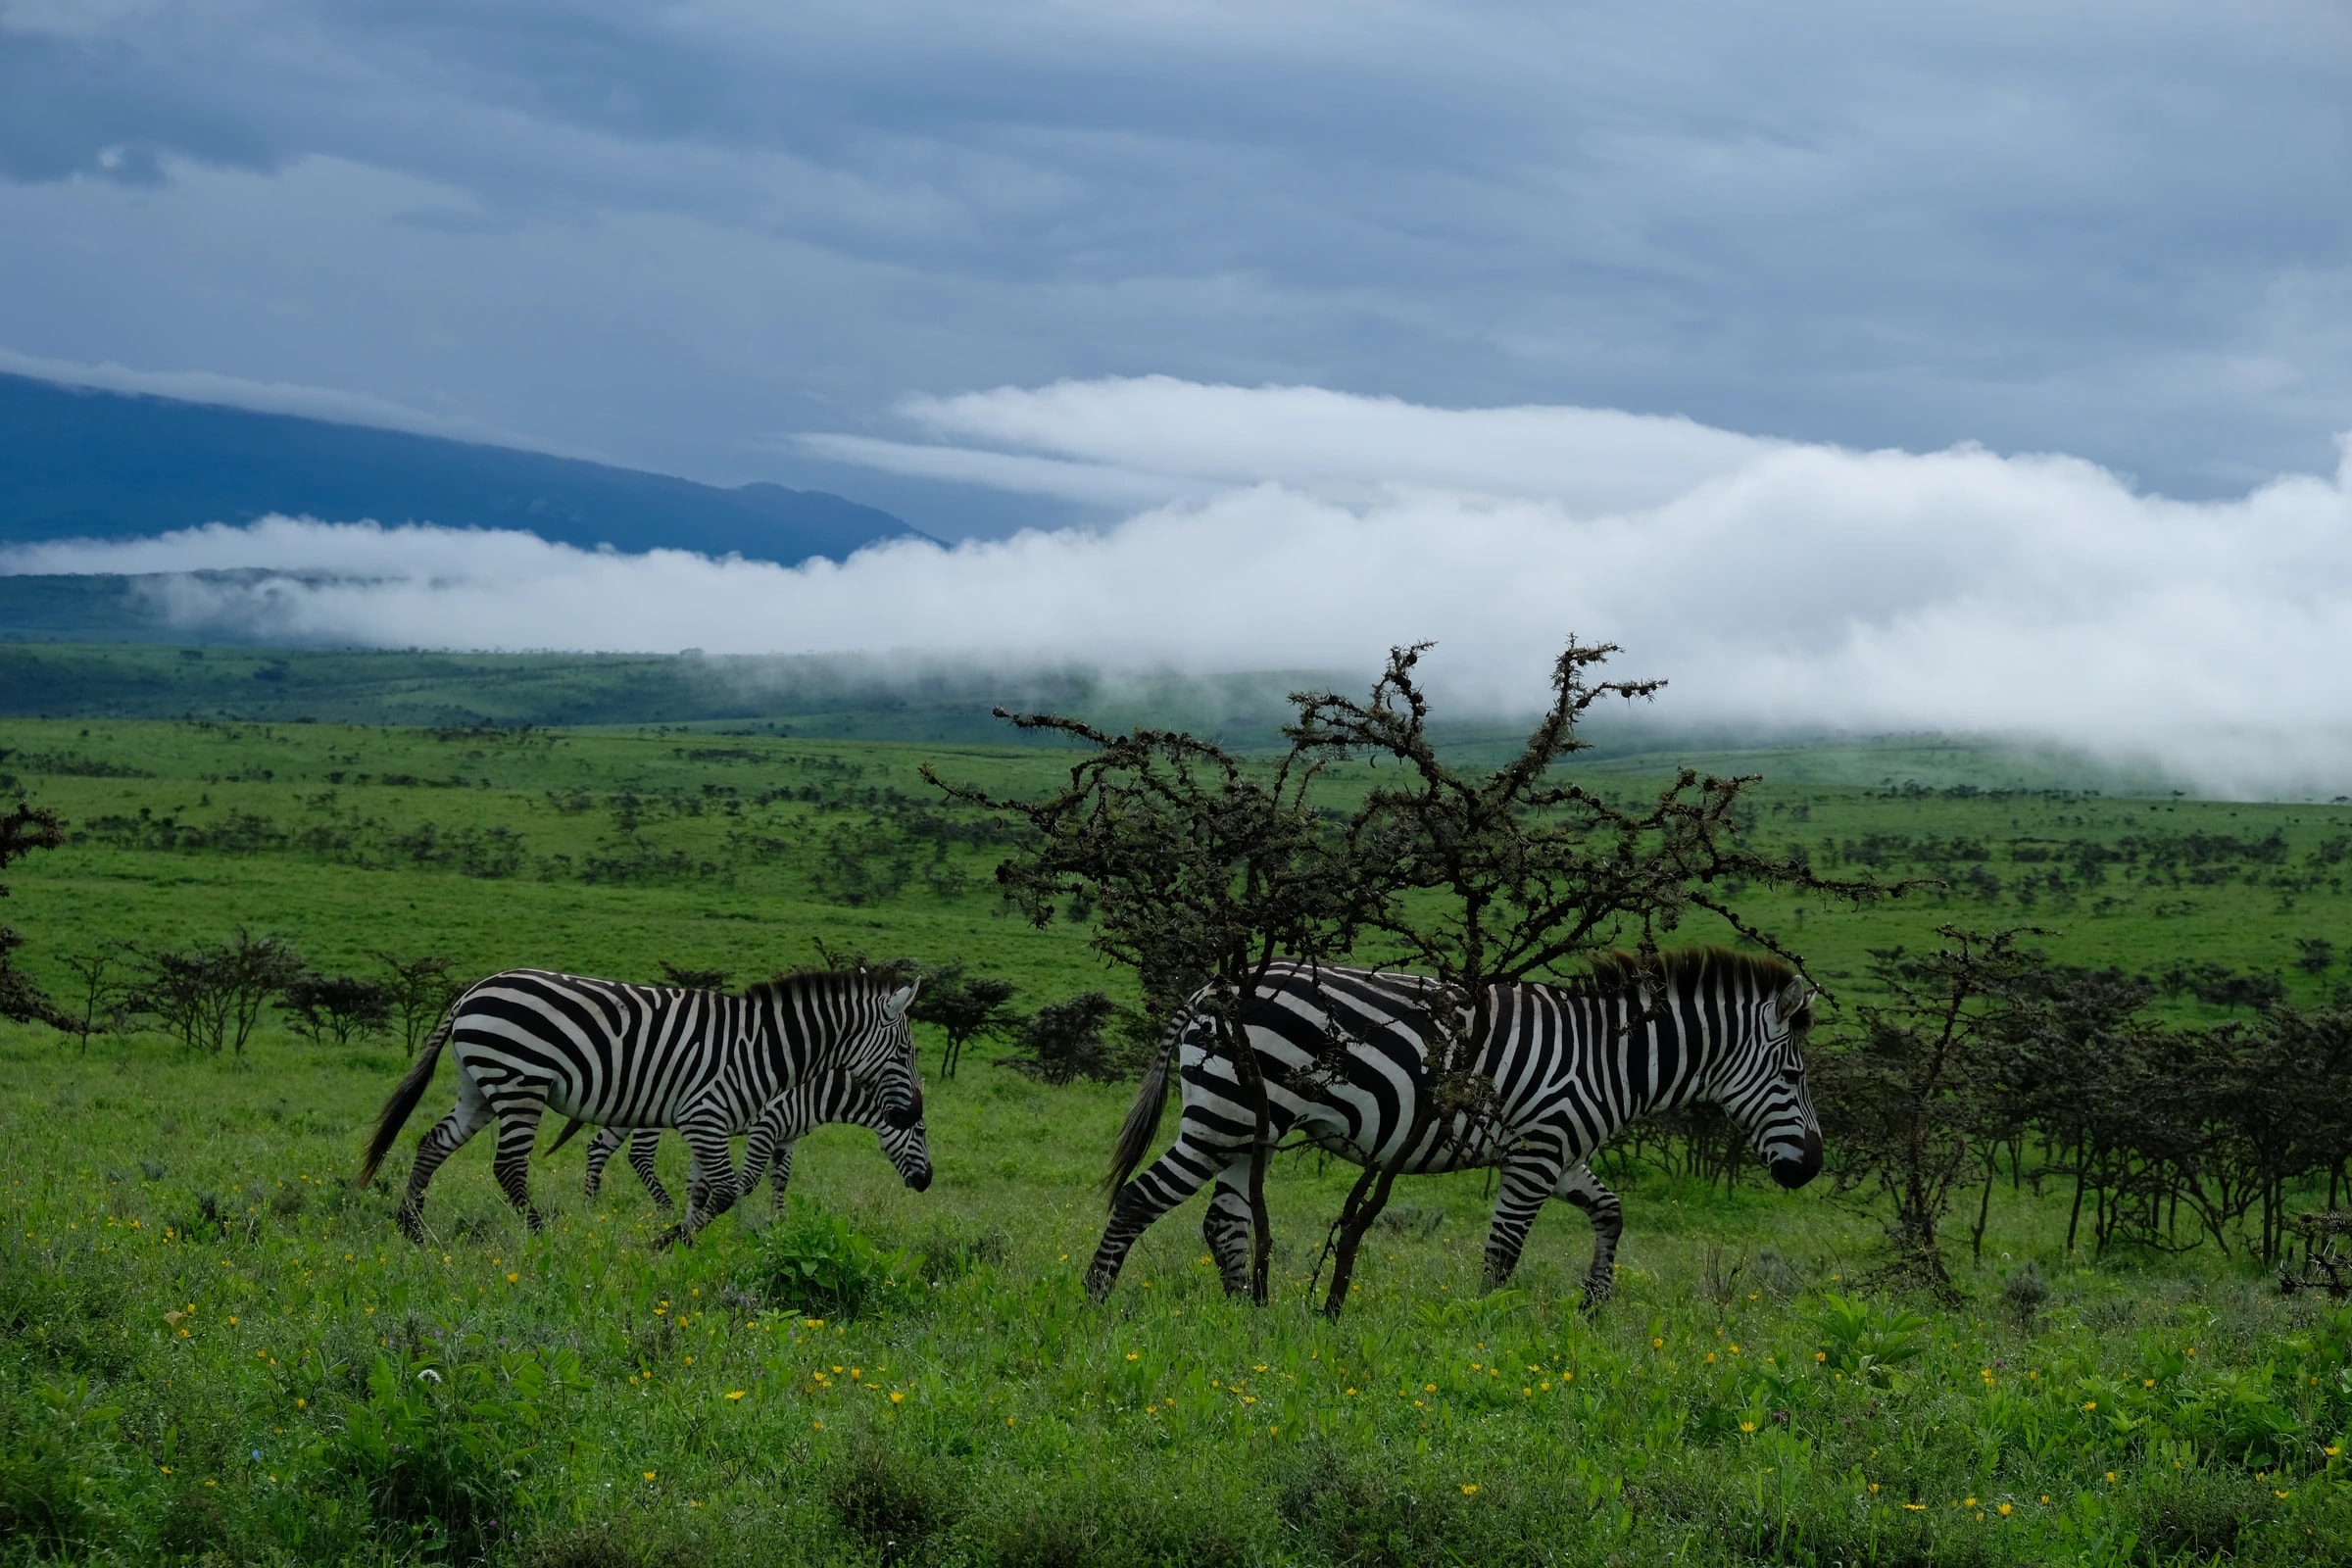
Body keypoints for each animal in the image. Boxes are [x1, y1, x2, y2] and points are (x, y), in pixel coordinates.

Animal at [357, 967, 927, 1243]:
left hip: (482, 1085)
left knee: (433, 1143)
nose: (913, 1114)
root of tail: (470, 992)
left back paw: (413, 1228)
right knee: (511, 1167)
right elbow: (727, 1189)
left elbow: (708, 1189)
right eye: (906, 1052)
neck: (766, 1049)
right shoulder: (713, 1116)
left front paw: (692, 1242)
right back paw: (542, 1237)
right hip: (521, 1082)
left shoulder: (711, 1125)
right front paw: (670, 1240)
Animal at [1086, 949, 1821, 1306]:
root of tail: (1212, 989)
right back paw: (1095, 1304)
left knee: (1225, 1223)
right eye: (1792, 1076)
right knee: (1140, 1199)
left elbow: (1611, 1211)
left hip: (1250, 1127)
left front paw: (1595, 1302)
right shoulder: (1537, 1151)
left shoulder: (1556, 1149)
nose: (1811, 1167)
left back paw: (1248, 1319)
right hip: (1223, 1114)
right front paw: (1477, 1330)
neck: (1606, 1056)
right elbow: (1502, 1253)